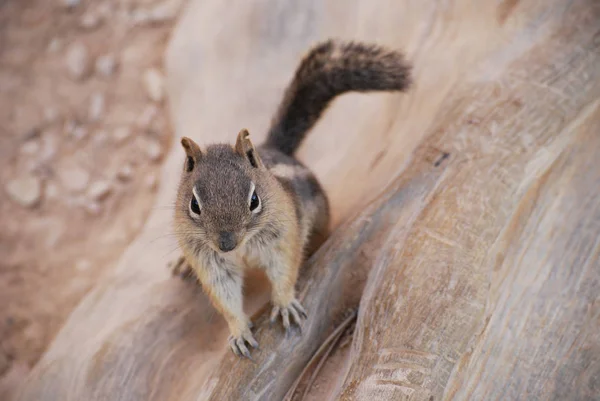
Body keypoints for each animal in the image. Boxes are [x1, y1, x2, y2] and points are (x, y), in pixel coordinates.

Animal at [171, 38, 410, 356]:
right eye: (194, 205)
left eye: (254, 200)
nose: (226, 244)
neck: (243, 248)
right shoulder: (209, 260)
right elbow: (225, 296)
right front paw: (238, 331)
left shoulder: (283, 237)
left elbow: (284, 269)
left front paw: (285, 305)